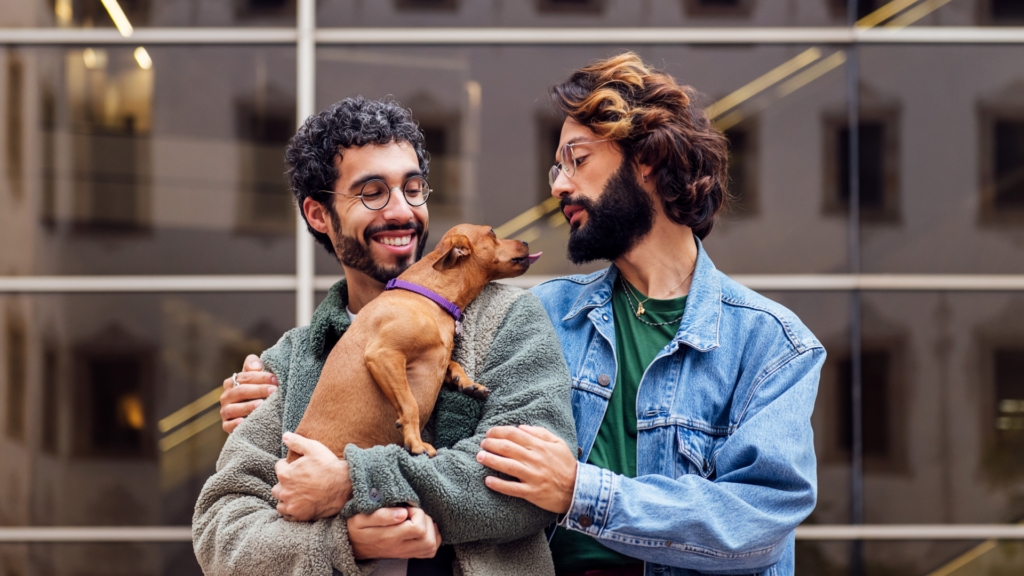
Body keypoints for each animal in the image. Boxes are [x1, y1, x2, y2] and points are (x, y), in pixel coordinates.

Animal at [288, 222, 540, 459]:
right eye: (492, 232)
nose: (526, 241)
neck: (427, 296)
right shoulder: (383, 354)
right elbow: (411, 406)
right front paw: (416, 443)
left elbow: (453, 363)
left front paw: (466, 382)